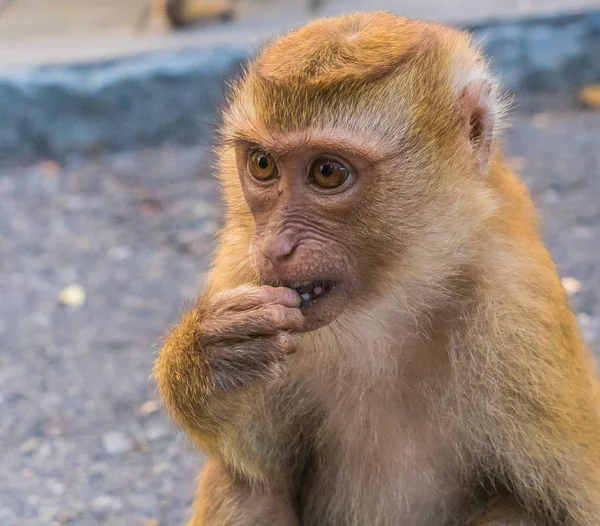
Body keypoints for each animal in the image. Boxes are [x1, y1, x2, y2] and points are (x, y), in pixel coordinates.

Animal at [151, 12, 600, 526]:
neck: (390, 301)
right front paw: (213, 359)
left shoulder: (518, 316)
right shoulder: (239, 263)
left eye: (328, 172)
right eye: (263, 164)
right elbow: (259, 464)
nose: (275, 248)